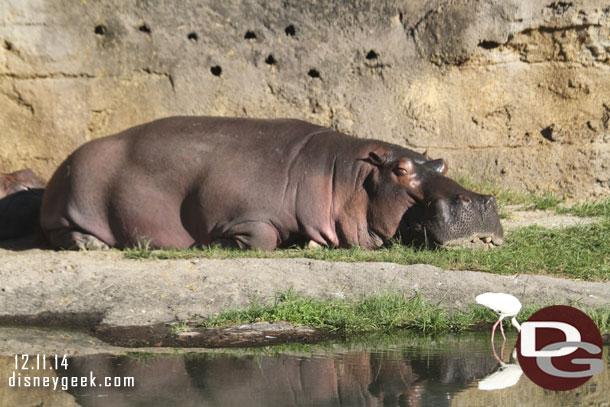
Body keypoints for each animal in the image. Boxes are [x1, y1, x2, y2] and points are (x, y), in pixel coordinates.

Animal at [39, 116, 504, 250]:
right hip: (71, 200)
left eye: (441, 163)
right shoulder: (245, 216)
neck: (342, 176)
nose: (480, 200)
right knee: (62, 231)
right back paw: (90, 244)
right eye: (402, 170)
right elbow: (259, 238)